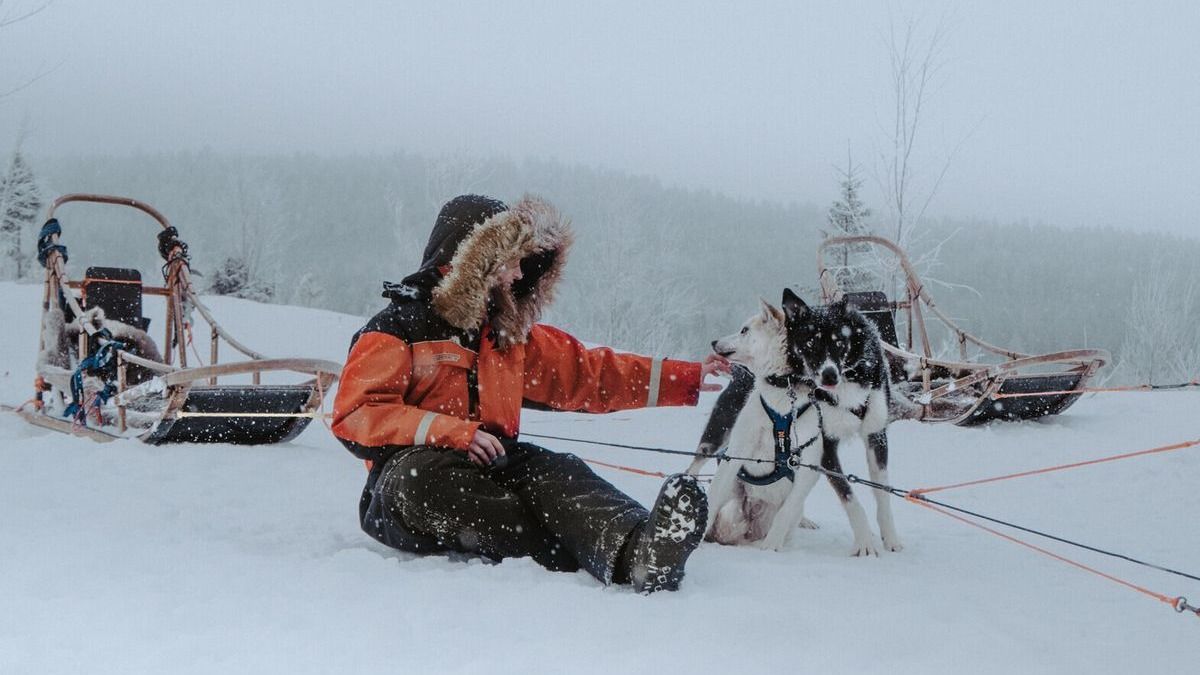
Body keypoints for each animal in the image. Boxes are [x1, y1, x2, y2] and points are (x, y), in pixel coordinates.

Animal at [700, 299, 825, 547]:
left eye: (744, 330)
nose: (714, 341)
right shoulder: (736, 452)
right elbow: (714, 496)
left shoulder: (808, 468)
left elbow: (786, 513)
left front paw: (771, 547)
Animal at [777, 285, 902, 554]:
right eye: (810, 342)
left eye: (839, 342)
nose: (829, 375)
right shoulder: (826, 446)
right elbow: (849, 496)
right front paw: (865, 542)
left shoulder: (876, 435)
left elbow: (883, 493)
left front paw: (890, 537)